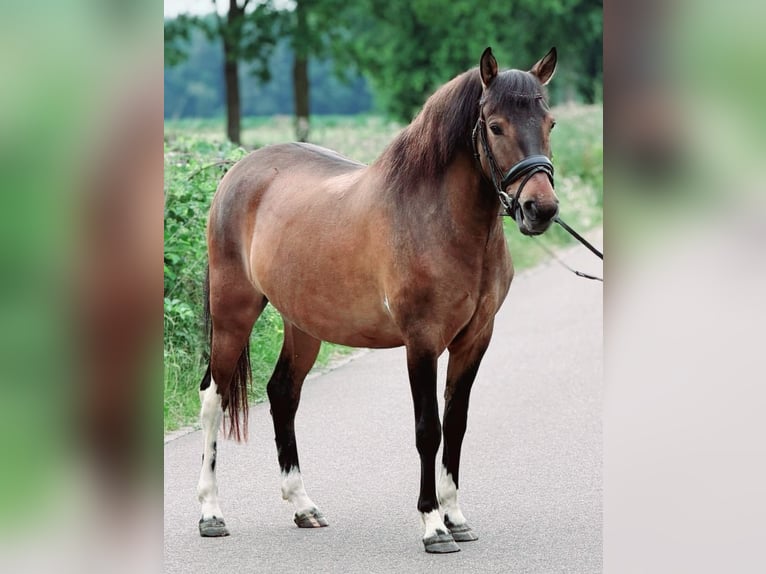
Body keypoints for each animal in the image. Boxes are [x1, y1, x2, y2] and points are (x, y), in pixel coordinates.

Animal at [196, 46, 560, 554]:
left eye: (550, 122)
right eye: (495, 126)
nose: (540, 210)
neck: (437, 218)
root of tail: (237, 173)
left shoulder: (475, 339)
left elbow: (457, 425)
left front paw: (456, 517)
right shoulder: (422, 341)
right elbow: (429, 429)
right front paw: (433, 525)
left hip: (303, 323)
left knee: (283, 394)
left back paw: (304, 506)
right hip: (234, 312)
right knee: (213, 397)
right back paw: (211, 512)